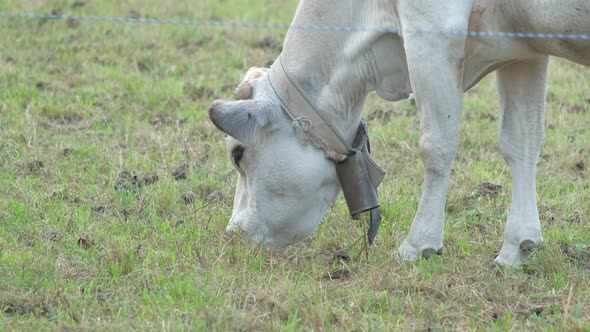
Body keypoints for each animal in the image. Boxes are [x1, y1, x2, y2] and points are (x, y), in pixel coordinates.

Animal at [209, 0, 590, 266]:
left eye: (238, 154)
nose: (233, 233)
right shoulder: (524, 51)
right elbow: (521, 141)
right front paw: (517, 247)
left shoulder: (432, 28)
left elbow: (436, 145)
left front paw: (418, 244)